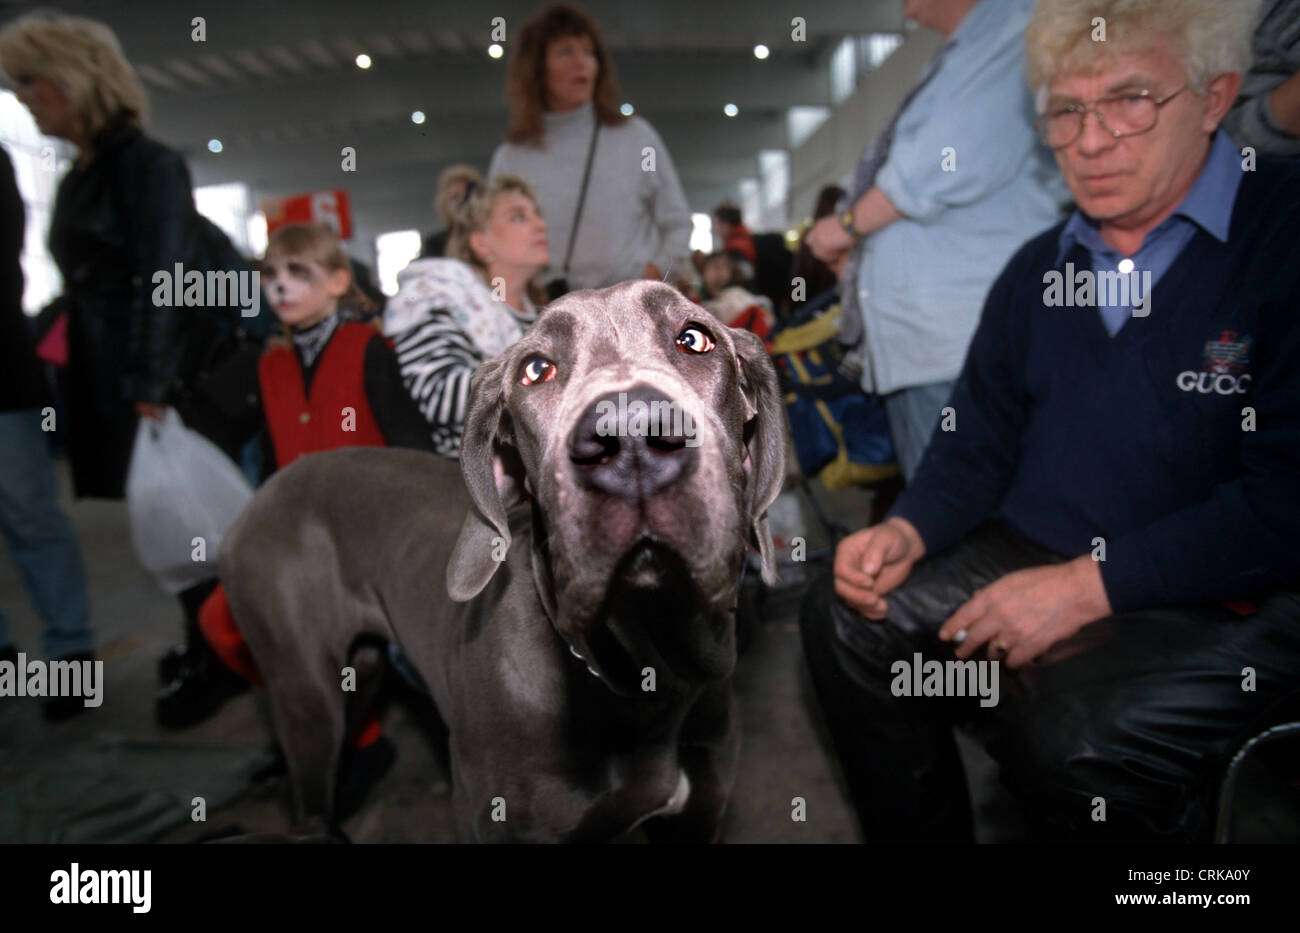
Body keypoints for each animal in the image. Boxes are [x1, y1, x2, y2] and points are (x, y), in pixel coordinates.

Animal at [219, 281, 785, 842]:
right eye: (536, 370)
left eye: (695, 339)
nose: (631, 440)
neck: (649, 684)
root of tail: (261, 494)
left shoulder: (696, 820)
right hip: (307, 696)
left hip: (360, 672)